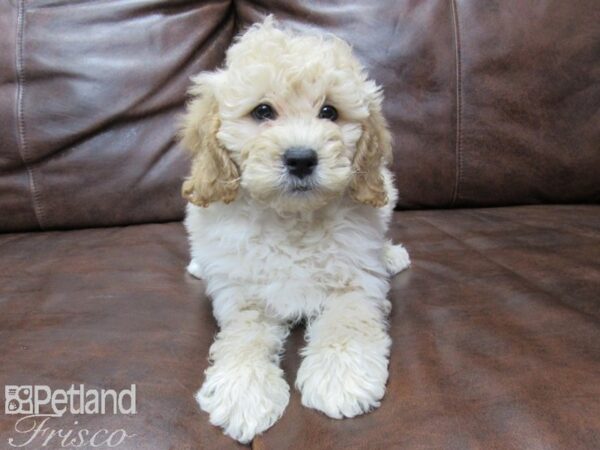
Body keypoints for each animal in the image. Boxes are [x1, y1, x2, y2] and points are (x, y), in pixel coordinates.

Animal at [180, 16, 410, 442]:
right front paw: (242, 392)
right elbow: (243, 337)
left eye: (330, 111)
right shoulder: (243, 297)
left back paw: (391, 255)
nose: (301, 159)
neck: (292, 218)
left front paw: (341, 379)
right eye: (263, 111)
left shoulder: (356, 280)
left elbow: (347, 322)